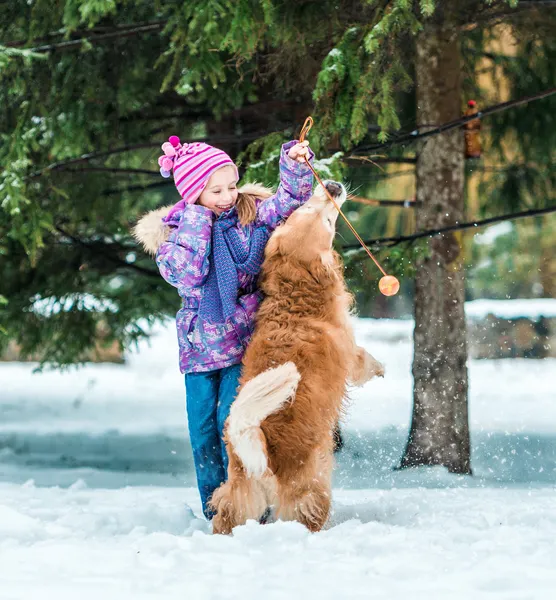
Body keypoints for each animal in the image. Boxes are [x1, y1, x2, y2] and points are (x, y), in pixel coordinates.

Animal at [211, 179, 384, 536]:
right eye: (328, 223)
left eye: (303, 208)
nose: (331, 184)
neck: (296, 292)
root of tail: (259, 453)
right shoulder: (349, 349)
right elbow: (363, 360)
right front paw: (381, 368)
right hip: (312, 489)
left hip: (238, 499)